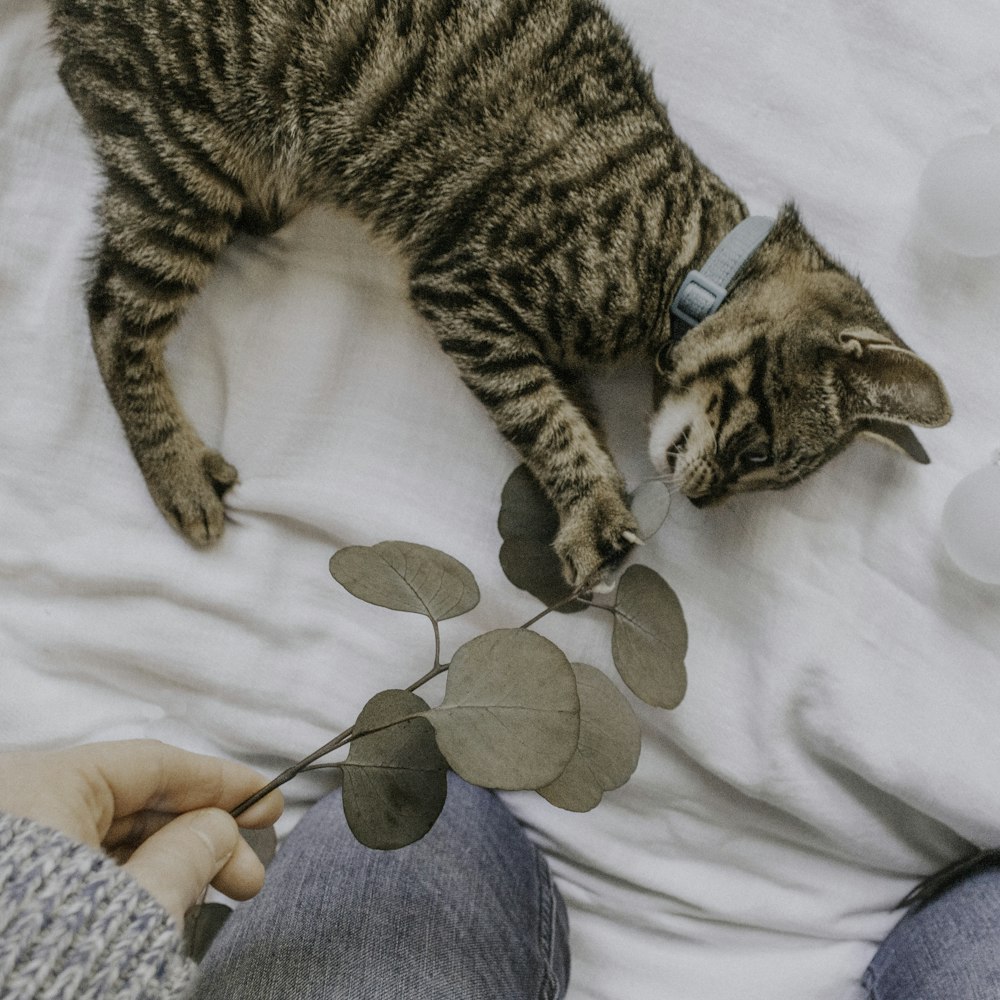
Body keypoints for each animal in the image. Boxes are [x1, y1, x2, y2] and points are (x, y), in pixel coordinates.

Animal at [48, 0, 952, 584]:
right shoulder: (465, 288)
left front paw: (595, 485)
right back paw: (175, 468)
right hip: (186, 157)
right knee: (110, 315)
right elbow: (539, 412)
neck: (686, 253)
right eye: (760, 458)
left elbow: (572, 412)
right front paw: (592, 505)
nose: (699, 504)